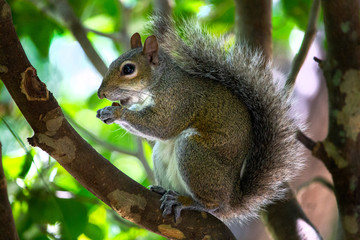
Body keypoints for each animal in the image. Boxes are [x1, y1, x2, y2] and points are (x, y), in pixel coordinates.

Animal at [95, 15, 304, 223]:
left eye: (128, 69)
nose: (100, 93)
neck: (161, 81)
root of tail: (232, 198)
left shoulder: (178, 102)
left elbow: (161, 127)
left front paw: (115, 113)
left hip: (194, 152)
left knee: (213, 204)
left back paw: (186, 201)